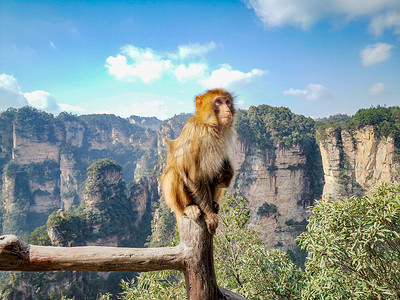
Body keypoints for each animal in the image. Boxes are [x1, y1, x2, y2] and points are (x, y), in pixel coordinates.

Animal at [160, 88, 234, 234]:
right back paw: (189, 207)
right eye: (218, 102)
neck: (209, 125)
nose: (228, 109)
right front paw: (209, 215)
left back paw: (214, 203)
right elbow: (193, 174)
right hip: (176, 202)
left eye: (227, 102)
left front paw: (228, 174)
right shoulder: (196, 132)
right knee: (174, 172)